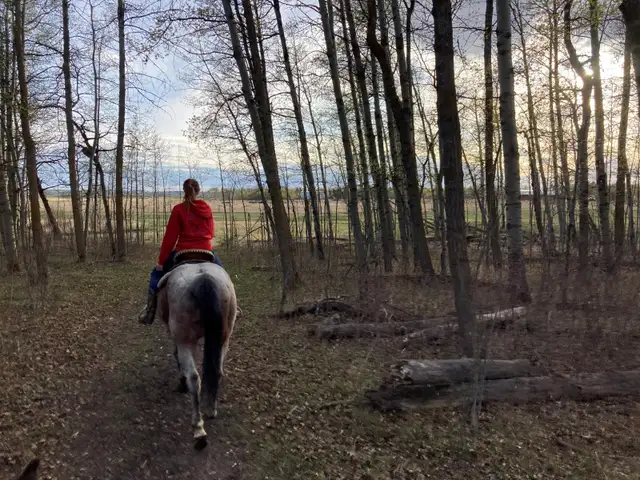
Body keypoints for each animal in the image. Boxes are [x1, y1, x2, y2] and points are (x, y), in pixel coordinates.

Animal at [155, 250, 238, 450]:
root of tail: (204, 278)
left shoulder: (176, 337)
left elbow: (177, 356)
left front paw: (181, 383)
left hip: (185, 339)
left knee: (194, 378)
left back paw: (199, 430)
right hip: (224, 337)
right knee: (218, 370)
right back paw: (211, 410)